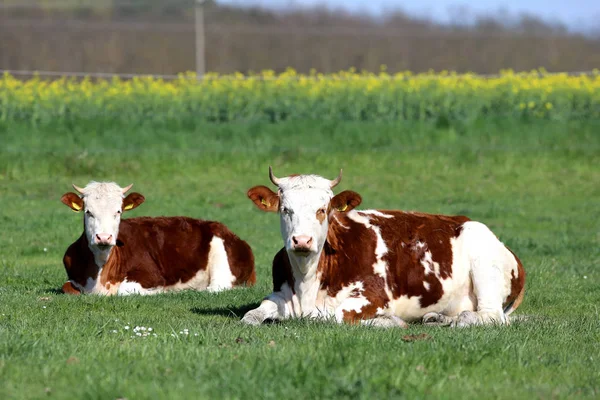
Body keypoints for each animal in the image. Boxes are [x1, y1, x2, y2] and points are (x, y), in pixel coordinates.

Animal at [56, 181, 253, 294]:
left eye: (118, 211)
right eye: (88, 212)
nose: (103, 237)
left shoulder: (152, 276)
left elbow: (125, 290)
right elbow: (66, 287)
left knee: (215, 288)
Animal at [241, 167, 524, 326]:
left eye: (323, 209)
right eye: (285, 209)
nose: (301, 241)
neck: (307, 282)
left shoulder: (372, 297)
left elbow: (330, 317)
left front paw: (387, 322)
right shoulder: (280, 294)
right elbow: (252, 316)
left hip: (485, 267)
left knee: (491, 317)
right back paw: (438, 318)